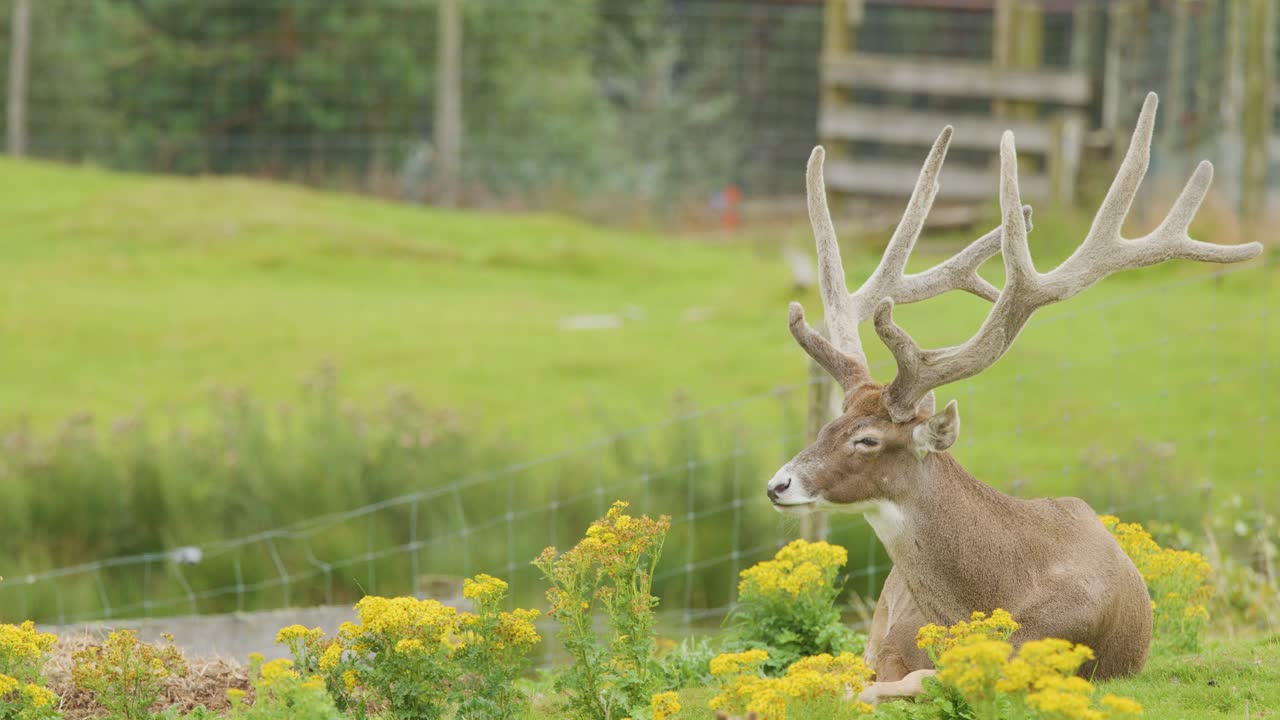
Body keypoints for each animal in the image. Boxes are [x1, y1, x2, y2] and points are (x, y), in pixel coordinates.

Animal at [765, 92, 1263, 703]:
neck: (989, 594)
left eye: (867, 439)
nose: (778, 484)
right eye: (827, 426)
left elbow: (914, 681)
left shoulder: (1051, 643)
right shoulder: (889, 643)